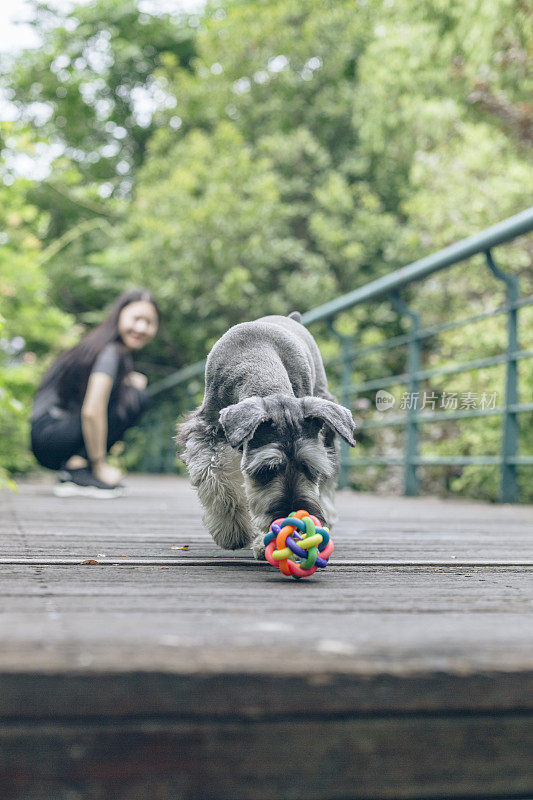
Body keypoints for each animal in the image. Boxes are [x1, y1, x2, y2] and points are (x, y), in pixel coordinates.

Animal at [177, 310, 356, 560]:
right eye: (266, 469)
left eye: (311, 468)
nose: (291, 515)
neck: (256, 355)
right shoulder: (204, 431)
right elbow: (215, 479)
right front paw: (233, 530)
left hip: (328, 422)